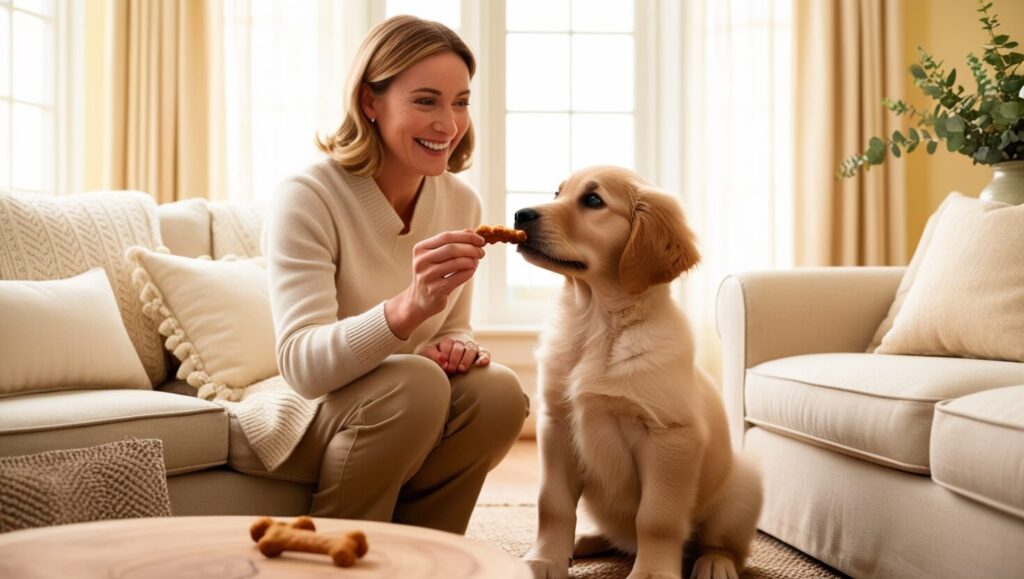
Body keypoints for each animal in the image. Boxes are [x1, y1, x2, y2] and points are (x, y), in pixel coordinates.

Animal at [520, 163, 761, 577]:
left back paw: (715, 562)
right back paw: (583, 542)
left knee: (723, 543)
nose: (520, 214)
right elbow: (551, 503)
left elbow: (656, 517)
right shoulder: (555, 425)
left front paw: (652, 573)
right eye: (557, 193)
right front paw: (545, 560)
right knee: (617, 538)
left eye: (593, 200)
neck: (596, 324)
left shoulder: (670, 436)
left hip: (744, 485)